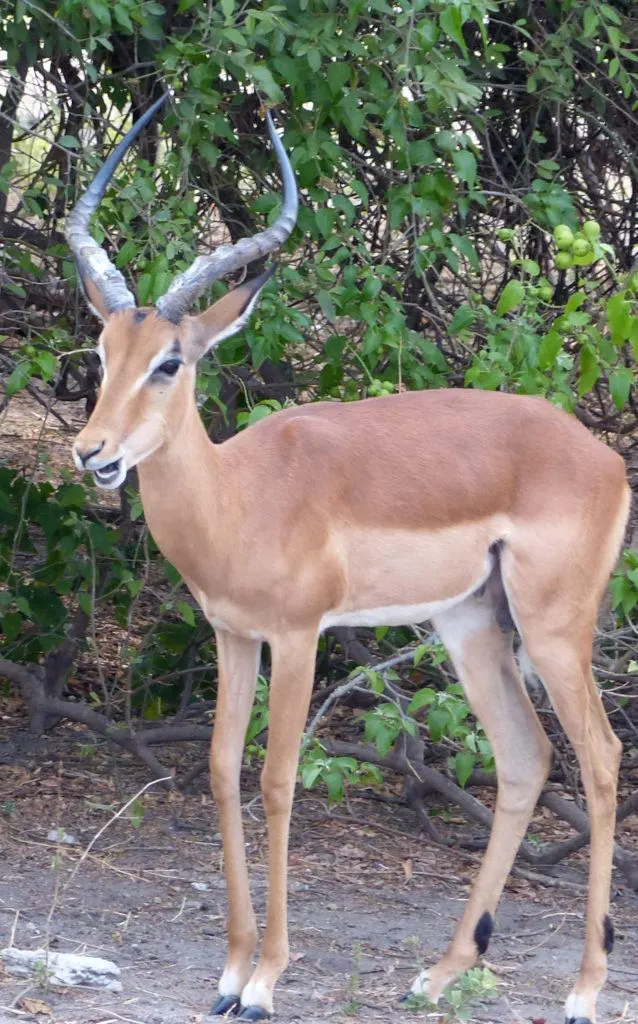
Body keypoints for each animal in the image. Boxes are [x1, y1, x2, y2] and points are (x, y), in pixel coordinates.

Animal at [66, 94, 629, 1024]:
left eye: (170, 362)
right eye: (104, 356)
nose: (92, 454)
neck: (240, 497)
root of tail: (603, 458)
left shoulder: (299, 637)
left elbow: (278, 779)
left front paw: (264, 981)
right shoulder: (233, 636)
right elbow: (219, 771)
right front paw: (228, 973)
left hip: (553, 629)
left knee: (603, 757)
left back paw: (584, 990)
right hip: (471, 625)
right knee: (524, 759)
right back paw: (439, 973)